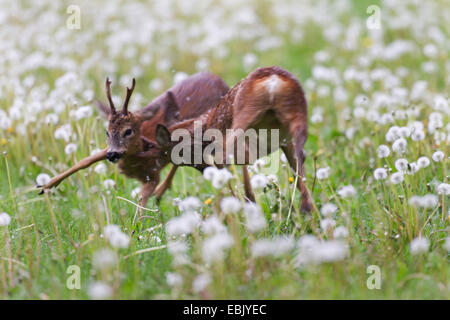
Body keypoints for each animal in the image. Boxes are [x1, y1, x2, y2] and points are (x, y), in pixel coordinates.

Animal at [38, 72, 230, 208]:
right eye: (107, 132)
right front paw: (46, 186)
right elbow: (85, 161)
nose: (112, 155)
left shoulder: (152, 174)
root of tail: (220, 79)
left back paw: (160, 193)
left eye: (128, 131)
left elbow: (141, 202)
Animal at [142, 67, 312, 211]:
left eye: (179, 153)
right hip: (296, 121)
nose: (204, 169)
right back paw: (306, 210)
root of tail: (272, 81)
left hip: (243, 120)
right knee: (301, 161)